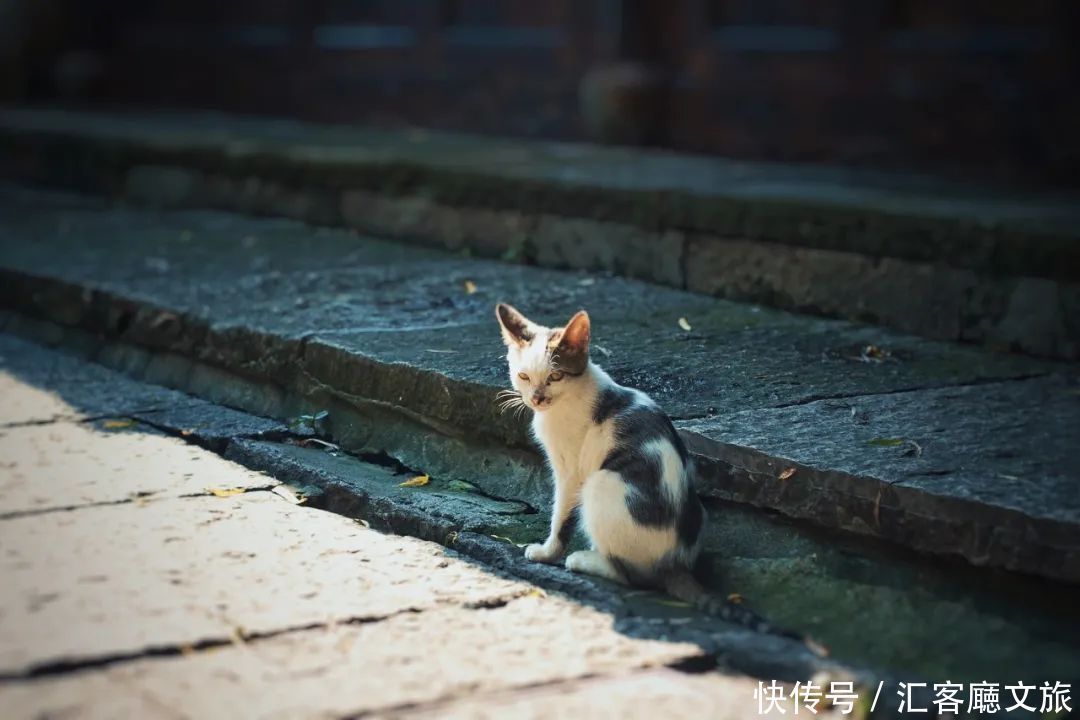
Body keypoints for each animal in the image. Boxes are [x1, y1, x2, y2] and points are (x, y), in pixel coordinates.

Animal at [494, 304, 807, 643]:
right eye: (523, 376)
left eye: (555, 375)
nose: (536, 398)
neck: (572, 395)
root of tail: (674, 562)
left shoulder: (571, 471)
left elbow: (561, 516)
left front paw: (547, 551)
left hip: (602, 482)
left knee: (631, 576)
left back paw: (585, 560)